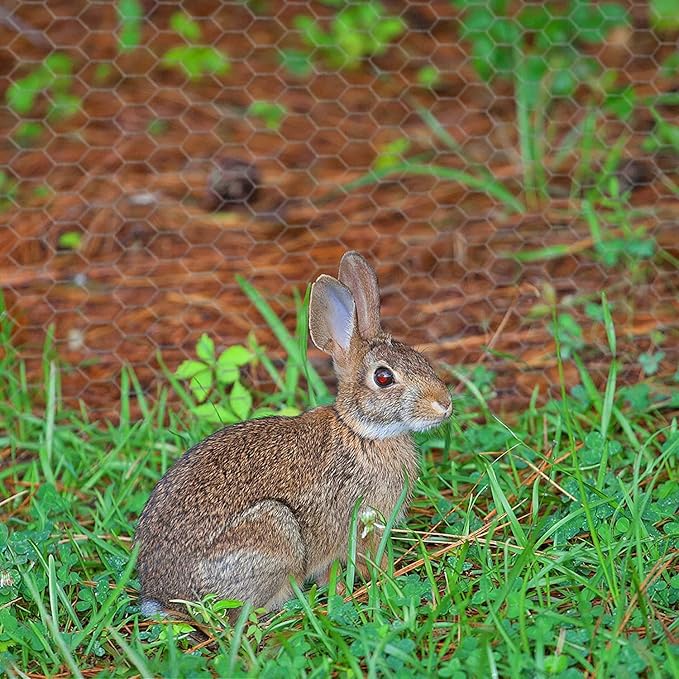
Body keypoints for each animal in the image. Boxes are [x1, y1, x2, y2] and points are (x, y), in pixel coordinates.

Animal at [135, 251, 452, 618]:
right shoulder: (359, 524)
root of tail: (163, 597)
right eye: (384, 378)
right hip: (275, 529)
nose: (445, 405)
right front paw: (383, 584)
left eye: (421, 359)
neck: (360, 431)